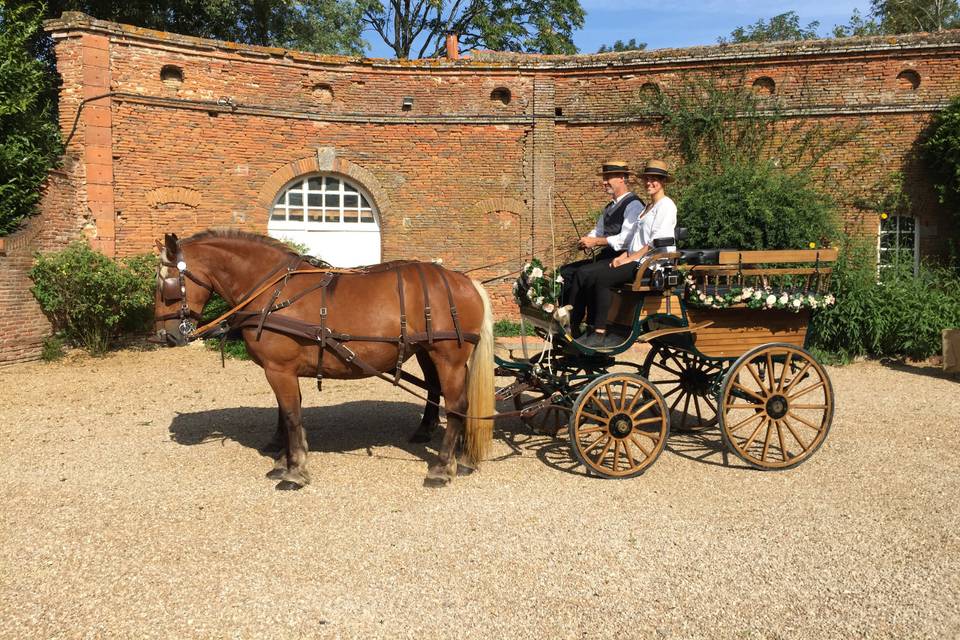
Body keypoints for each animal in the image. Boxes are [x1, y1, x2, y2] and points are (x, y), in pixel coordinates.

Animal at [154, 230, 496, 490]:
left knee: (457, 406)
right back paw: (455, 453)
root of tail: (465, 281)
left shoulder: (279, 369)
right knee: (439, 393)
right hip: (428, 352)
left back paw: (443, 467)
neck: (272, 291)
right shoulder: (282, 370)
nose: (165, 336)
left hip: (448, 358)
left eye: (165, 284)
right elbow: (285, 415)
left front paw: (294, 472)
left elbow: (291, 417)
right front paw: (284, 461)